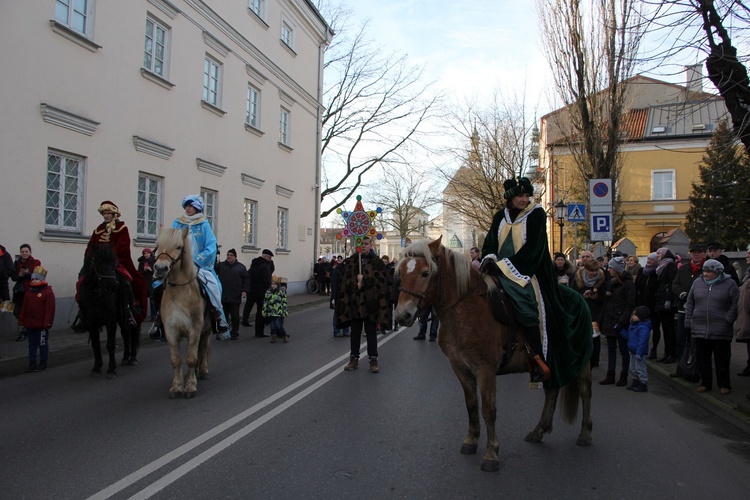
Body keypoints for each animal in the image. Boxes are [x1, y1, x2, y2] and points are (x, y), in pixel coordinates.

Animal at [80, 244, 142, 376]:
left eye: (114, 263)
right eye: (98, 262)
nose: (114, 285)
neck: (96, 293)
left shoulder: (110, 319)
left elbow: (110, 344)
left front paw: (111, 370)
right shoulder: (91, 322)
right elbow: (95, 344)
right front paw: (96, 367)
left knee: (133, 334)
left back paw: (133, 358)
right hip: (121, 318)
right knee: (125, 335)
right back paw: (125, 358)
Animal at [153, 227, 212, 398]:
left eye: (179, 246)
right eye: (157, 245)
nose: (160, 269)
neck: (178, 292)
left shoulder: (195, 329)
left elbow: (191, 358)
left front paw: (190, 387)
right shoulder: (171, 331)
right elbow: (176, 360)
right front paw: (177, 387)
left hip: (207, 329)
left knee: (204, 346)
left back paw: (203, 370)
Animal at [396, 238, 596, 472]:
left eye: (425, 273)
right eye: (400, 272)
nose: (402, 315)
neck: (467, 309)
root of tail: (578, 295)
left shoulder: (485, 370)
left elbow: (489, 410)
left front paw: (491, 454)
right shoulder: (460, 367)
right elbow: (471, 404)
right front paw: (471, 440)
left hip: (581, 360)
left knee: (585, 391)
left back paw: (585, 433)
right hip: (554, 360)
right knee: (552, 390)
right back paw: (539, 430)